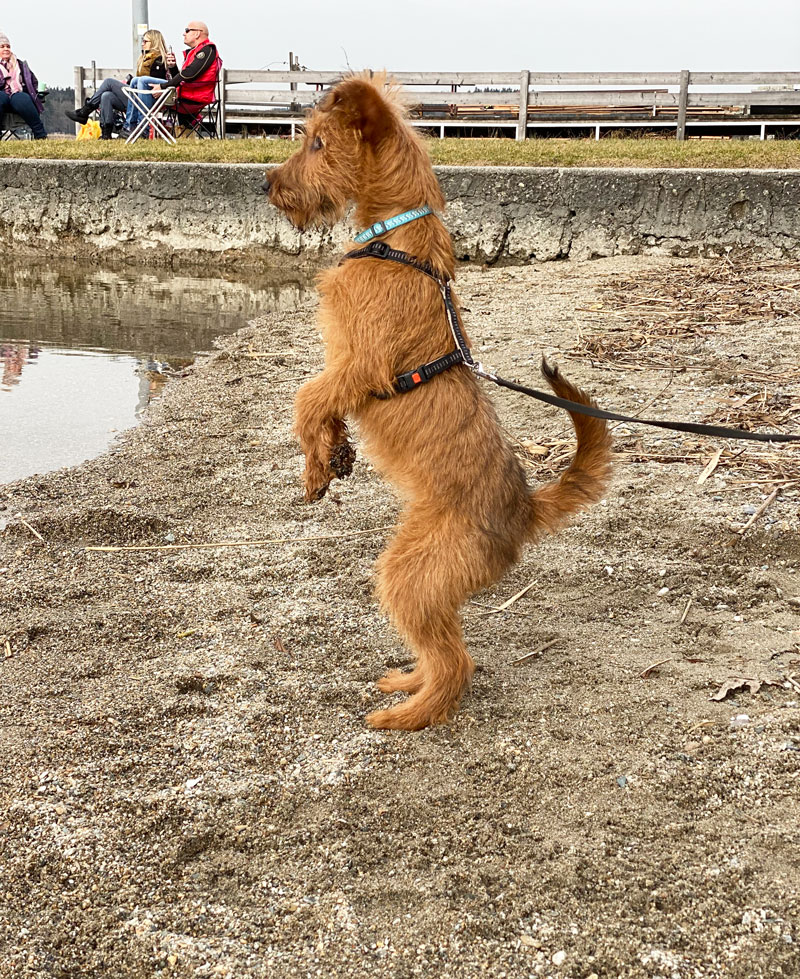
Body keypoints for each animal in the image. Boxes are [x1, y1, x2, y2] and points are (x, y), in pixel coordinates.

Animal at [264, 74, 612, 731]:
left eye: (317, 142)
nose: (266, 185)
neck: (394, 238)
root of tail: (525, 508)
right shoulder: (345, 369)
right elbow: (322, 410)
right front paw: (335, 456)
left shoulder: (355, 365)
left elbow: (305, 398)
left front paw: (315, 467)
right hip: (417, 570)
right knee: (442, 650)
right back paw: (406, 682)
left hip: (408, 573)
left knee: (456, 664)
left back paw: (405, 716)